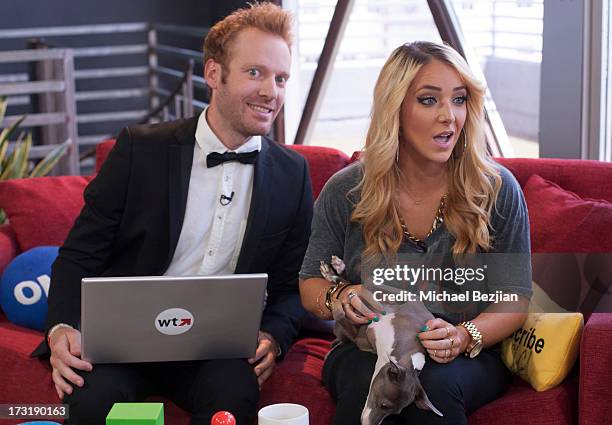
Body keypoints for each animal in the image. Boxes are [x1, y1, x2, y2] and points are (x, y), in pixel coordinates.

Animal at [318, 255, 442, 424]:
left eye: (394, 413)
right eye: (384, 405)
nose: (367, 423)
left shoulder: (360, 339)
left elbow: (342, 317)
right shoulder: (400, 297)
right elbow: (348, 303)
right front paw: (341, 297)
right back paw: (336, 270)